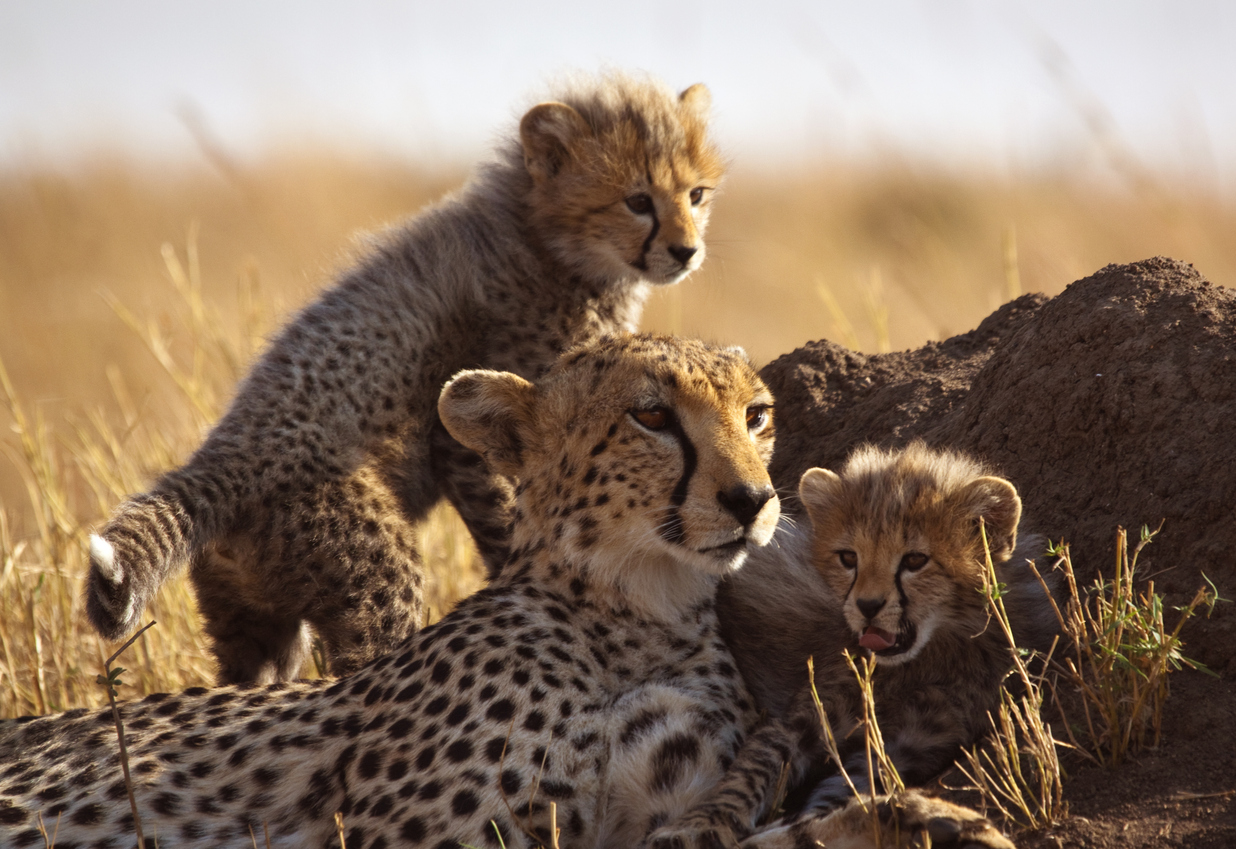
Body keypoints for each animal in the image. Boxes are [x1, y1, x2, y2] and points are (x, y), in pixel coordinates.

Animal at [0, 338, 1008, 849]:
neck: (637, 610)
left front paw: (925, 818)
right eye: (652, 414)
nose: (754, 499)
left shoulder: (650, 812)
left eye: (755, 414)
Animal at [87, 71, 721, 682]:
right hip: (374, 573)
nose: (687, 251)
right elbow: (508, 517)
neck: (542, 237)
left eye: (696, 195)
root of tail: (217, 458)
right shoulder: (466, 434)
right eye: (637, 200)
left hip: (256, 624)